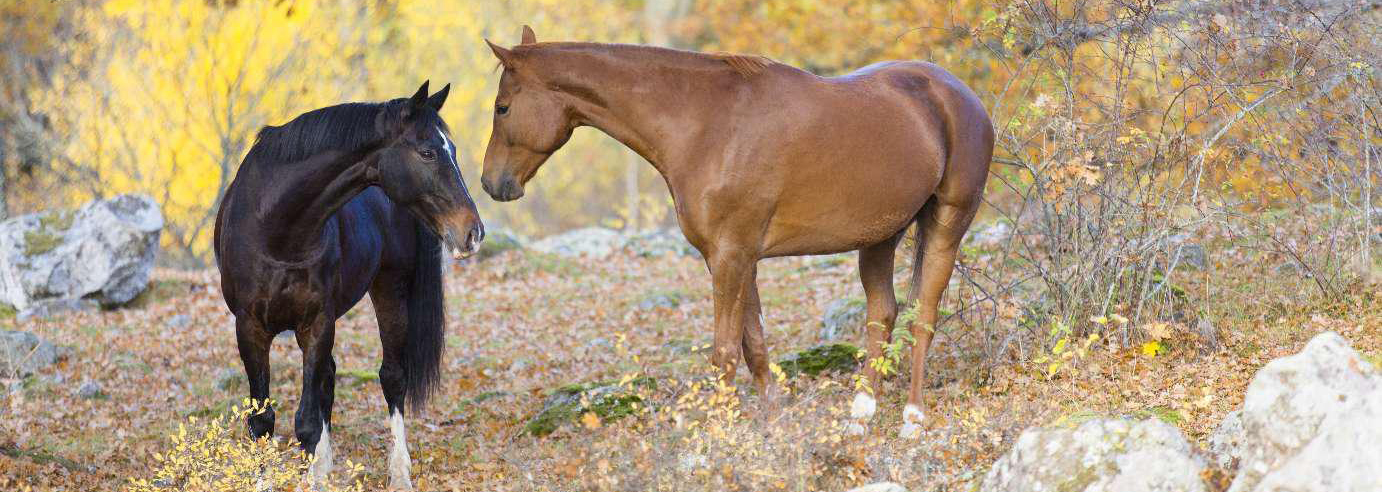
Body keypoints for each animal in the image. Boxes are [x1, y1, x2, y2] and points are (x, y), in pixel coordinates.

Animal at [210, 81, 480, 489]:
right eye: (428, 152)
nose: (473, 232)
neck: (275, 229)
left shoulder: (317, 322)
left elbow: (306, 422)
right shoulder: (250, 327)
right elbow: (262, 420)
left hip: (390, 289)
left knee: (391, 378)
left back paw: (399, 472)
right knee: (329, 378)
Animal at [483, 26, 995, 439]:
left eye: (503, 107)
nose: (491, 183)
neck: (708, 123)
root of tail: (960, 95)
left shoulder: (731, 257)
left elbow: (726, 352)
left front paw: (715, 439)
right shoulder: (735, 258)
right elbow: (755, 347)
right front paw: (772, 425)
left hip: (947, 226)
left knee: (924, 316)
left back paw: (913, 418)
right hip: (879, 237)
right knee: (882, 314)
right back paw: (860, 416)